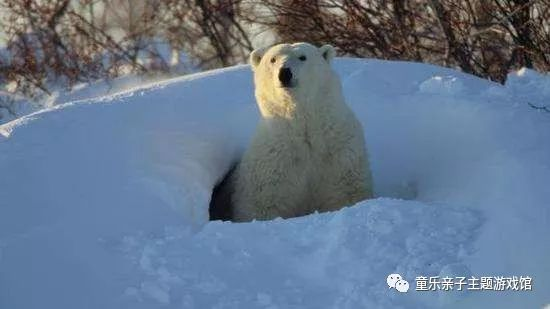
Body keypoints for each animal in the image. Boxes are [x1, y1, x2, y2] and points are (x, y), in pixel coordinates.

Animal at [213, 42, 374, 221]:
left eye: (302, 57)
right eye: (273, 59)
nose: (285, 73)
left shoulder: (340, 152)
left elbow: (344, 192)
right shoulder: (274, 162)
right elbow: (264, 204)